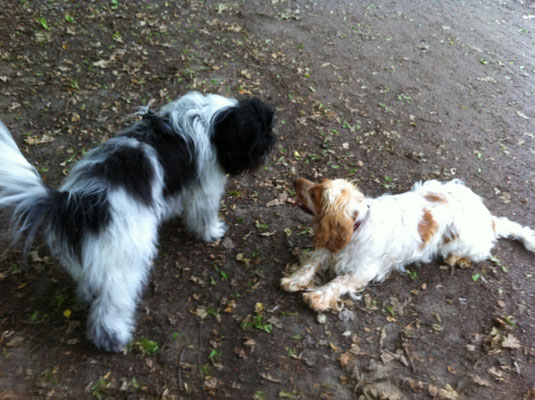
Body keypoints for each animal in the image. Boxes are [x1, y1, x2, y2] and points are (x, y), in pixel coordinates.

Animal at [0, 92, 276, 352]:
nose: (273, 142)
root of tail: (76, 203)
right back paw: (114, 338)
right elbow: (204, 213)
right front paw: (212, 231)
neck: (211, 121)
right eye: (262, 132)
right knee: (112, 303)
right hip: (124, 260)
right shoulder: (205, 188)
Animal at [282, 178, 532, 312]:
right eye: (317, 184)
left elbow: (338, 282)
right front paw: (293, 280)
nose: (295, 181)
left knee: (482, 251)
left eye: (315, 193)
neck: (357, 226)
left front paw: (317, 296)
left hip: (464, 244)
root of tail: (488, 217)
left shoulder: (363, 271)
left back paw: (456, 259)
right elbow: (310, 263)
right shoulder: (329, 249)